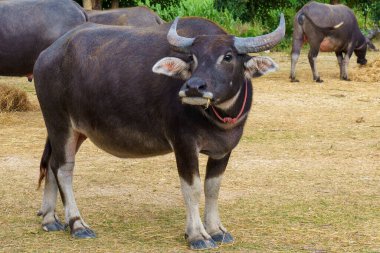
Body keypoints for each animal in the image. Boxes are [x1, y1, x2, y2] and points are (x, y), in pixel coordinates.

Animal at [34, 14, 284, 250]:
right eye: (192, 58)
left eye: (228, 57)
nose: (193, 87)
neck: (216, 118)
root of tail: (46, 55)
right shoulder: (183, 144)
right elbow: (192, 188)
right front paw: (197, 235)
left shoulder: (223, 149)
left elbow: (212, 188)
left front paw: (216, 230)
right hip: (59, 122)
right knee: (64, 169)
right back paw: (77, 224)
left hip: (75, 131)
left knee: (53, 165)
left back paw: (50, 219)